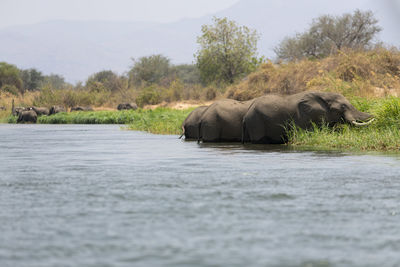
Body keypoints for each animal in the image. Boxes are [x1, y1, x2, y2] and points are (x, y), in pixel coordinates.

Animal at [241, 91, 376, 144]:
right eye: (343, 106)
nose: (376, 116)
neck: (324, 95)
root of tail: (246, 114)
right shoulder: (304, 116)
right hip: (256, 122)